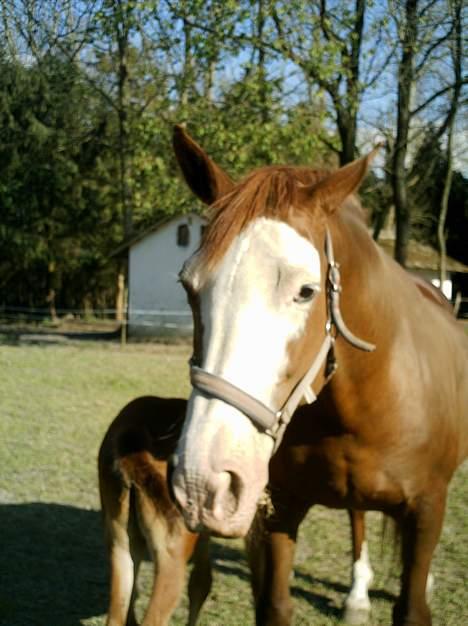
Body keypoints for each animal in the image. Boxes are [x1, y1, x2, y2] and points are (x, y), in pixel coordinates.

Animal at [170, 125, 466, 624]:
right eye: (188, 286)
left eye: (306, 291)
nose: (201, 481)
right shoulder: (281, 512)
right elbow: (276, 603)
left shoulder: (426, 509)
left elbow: (413, 605)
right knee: (358, 517)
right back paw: (358, 594)